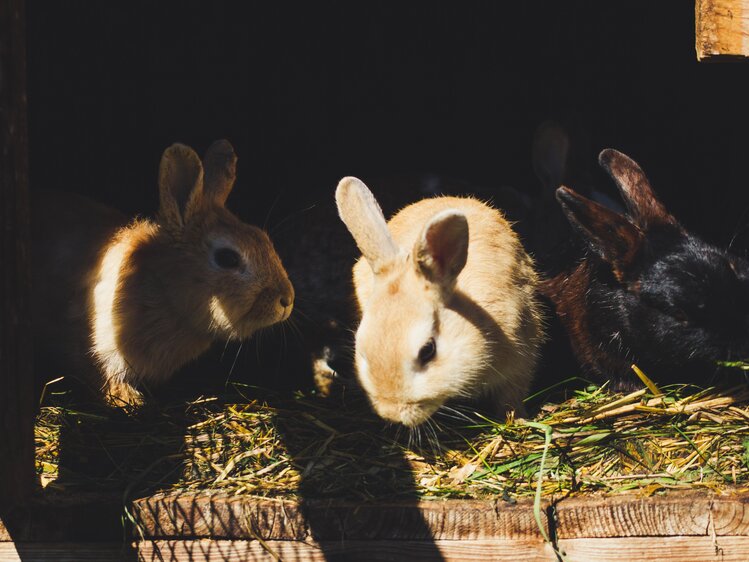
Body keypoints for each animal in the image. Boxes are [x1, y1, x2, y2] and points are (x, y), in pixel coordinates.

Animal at [336, 175, 540, 424]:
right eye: (361, 348)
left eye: (428, 351)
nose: (391, 412)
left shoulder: (521, 358)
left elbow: (512, 395)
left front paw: (517, 418)